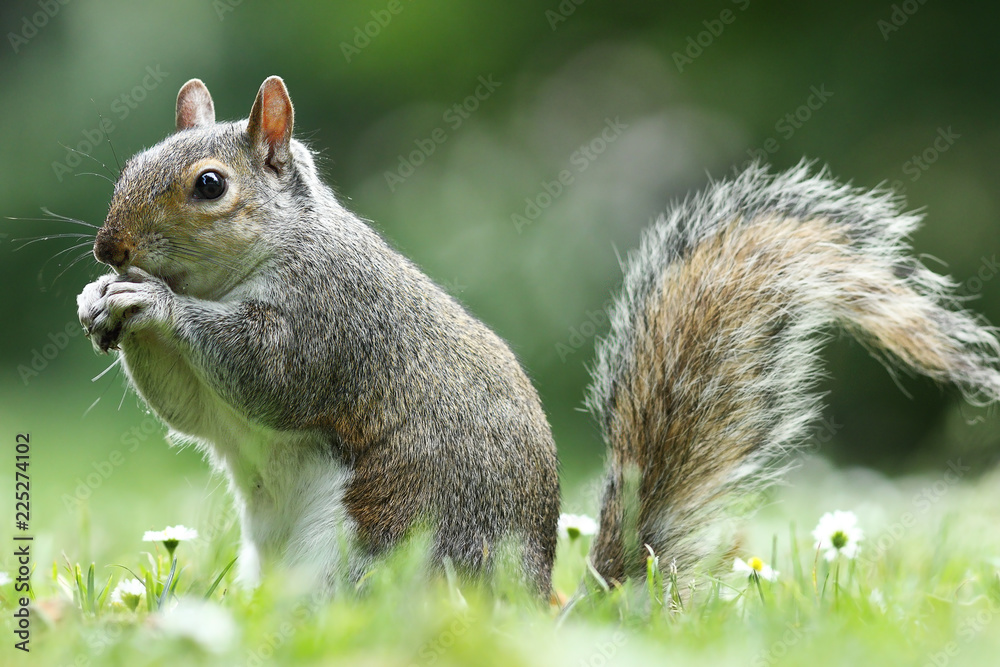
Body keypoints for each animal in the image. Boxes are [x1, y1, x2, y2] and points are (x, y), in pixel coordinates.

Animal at [77, 76, 1000, 596]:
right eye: (129, 164)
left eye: (209, 185)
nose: (108, 248)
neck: (262, 257)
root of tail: (533, 608)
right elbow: (195, 409)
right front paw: (100, 301)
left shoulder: (332, 318)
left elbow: (265, 373)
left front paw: (151, 302)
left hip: (385, 554)